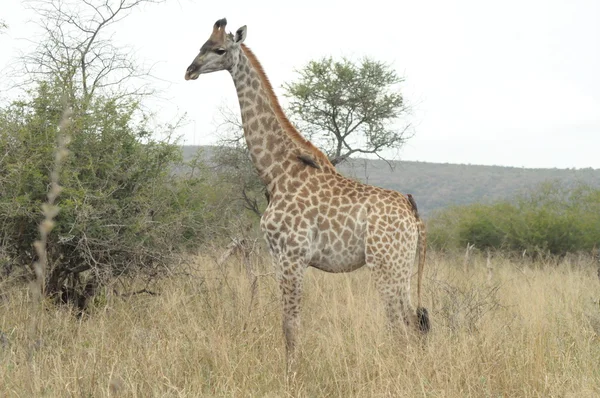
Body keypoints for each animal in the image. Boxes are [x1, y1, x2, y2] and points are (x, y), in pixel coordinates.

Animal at [185, 17, 428, 368]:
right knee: (416, 321)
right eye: (200, 46)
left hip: (385, 265)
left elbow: (290, 324)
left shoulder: (292, 255)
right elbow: (288, 322)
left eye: (218, 50)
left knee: (401, 324)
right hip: (403, 266)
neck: (276, 172)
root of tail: (413, 213)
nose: (189, 70)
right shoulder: (278, 256)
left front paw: (291, 373)